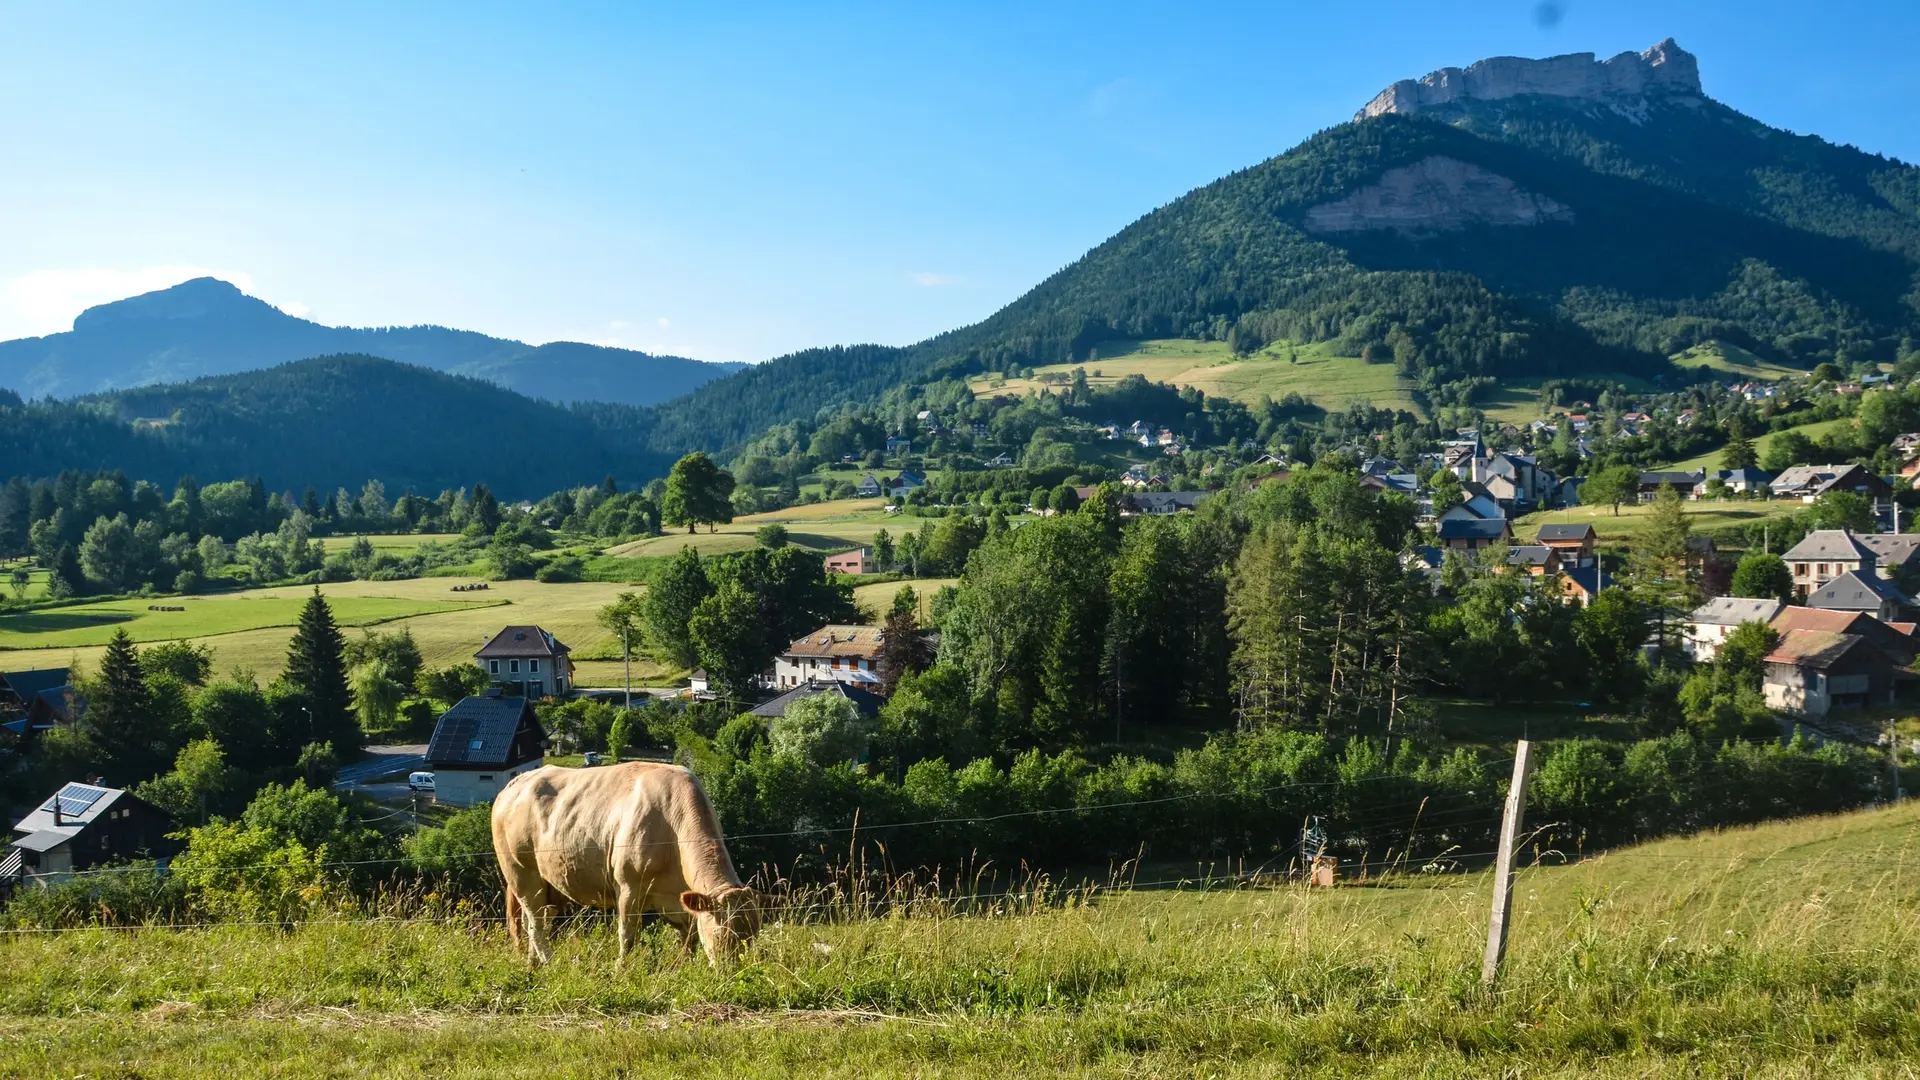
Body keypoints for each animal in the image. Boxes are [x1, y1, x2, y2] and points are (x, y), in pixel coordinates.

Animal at [491, 757, 760, 957]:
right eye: (722, 934)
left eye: (753, 936)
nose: (732, 972)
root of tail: (516, 782)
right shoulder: (628, 887)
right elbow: (628, 938)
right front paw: (622, 972)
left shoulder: (679, 901)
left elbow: (688, 938)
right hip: (521, 874)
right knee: (535, 926)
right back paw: (549, 964)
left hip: (550, 887)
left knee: (534, 923)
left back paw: (533, 966)